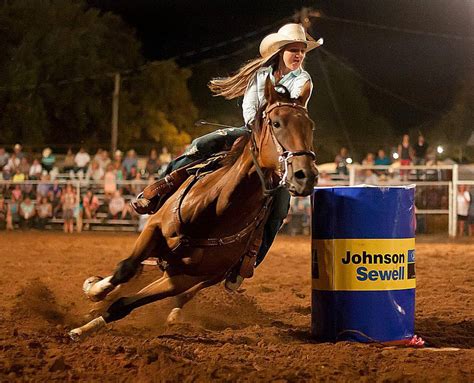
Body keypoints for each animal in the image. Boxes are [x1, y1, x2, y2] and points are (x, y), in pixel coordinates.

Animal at [69, 77, 318, 340]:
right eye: (276, 123)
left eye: (310, 126)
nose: (305, 175)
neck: (217, 210)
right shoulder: (154, 229)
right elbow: (125, 269)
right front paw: (94, 292)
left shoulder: (186, 278)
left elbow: (125, 304)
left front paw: (86, 326)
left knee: (182, 294)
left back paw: (174, 313)